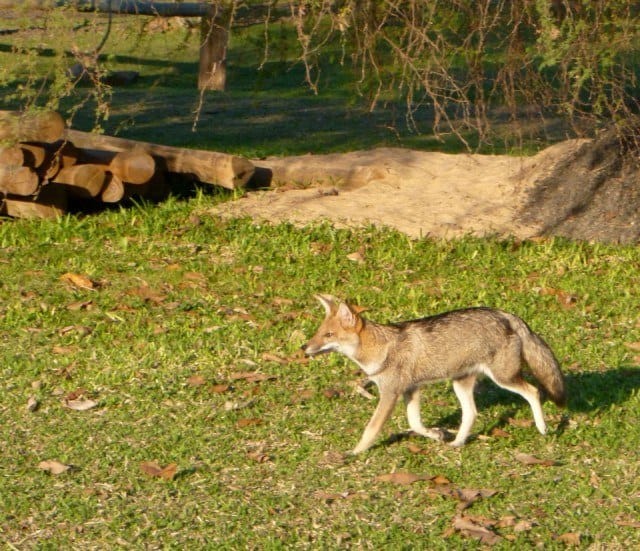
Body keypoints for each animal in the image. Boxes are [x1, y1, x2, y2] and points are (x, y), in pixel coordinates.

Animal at [302, 294, 566, 454]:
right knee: (471, 413)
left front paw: (355, 452)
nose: (304, 347)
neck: (381, 348)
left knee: (533, 392)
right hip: (460, 384)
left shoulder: (391, 393)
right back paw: (457, 442)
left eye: (328, 335)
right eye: (318, 333)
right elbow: (415, 423)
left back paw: (542, 428)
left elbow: (372, 428)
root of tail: (506, 314)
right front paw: (436, 434)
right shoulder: (411, 390)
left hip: (503, 379)